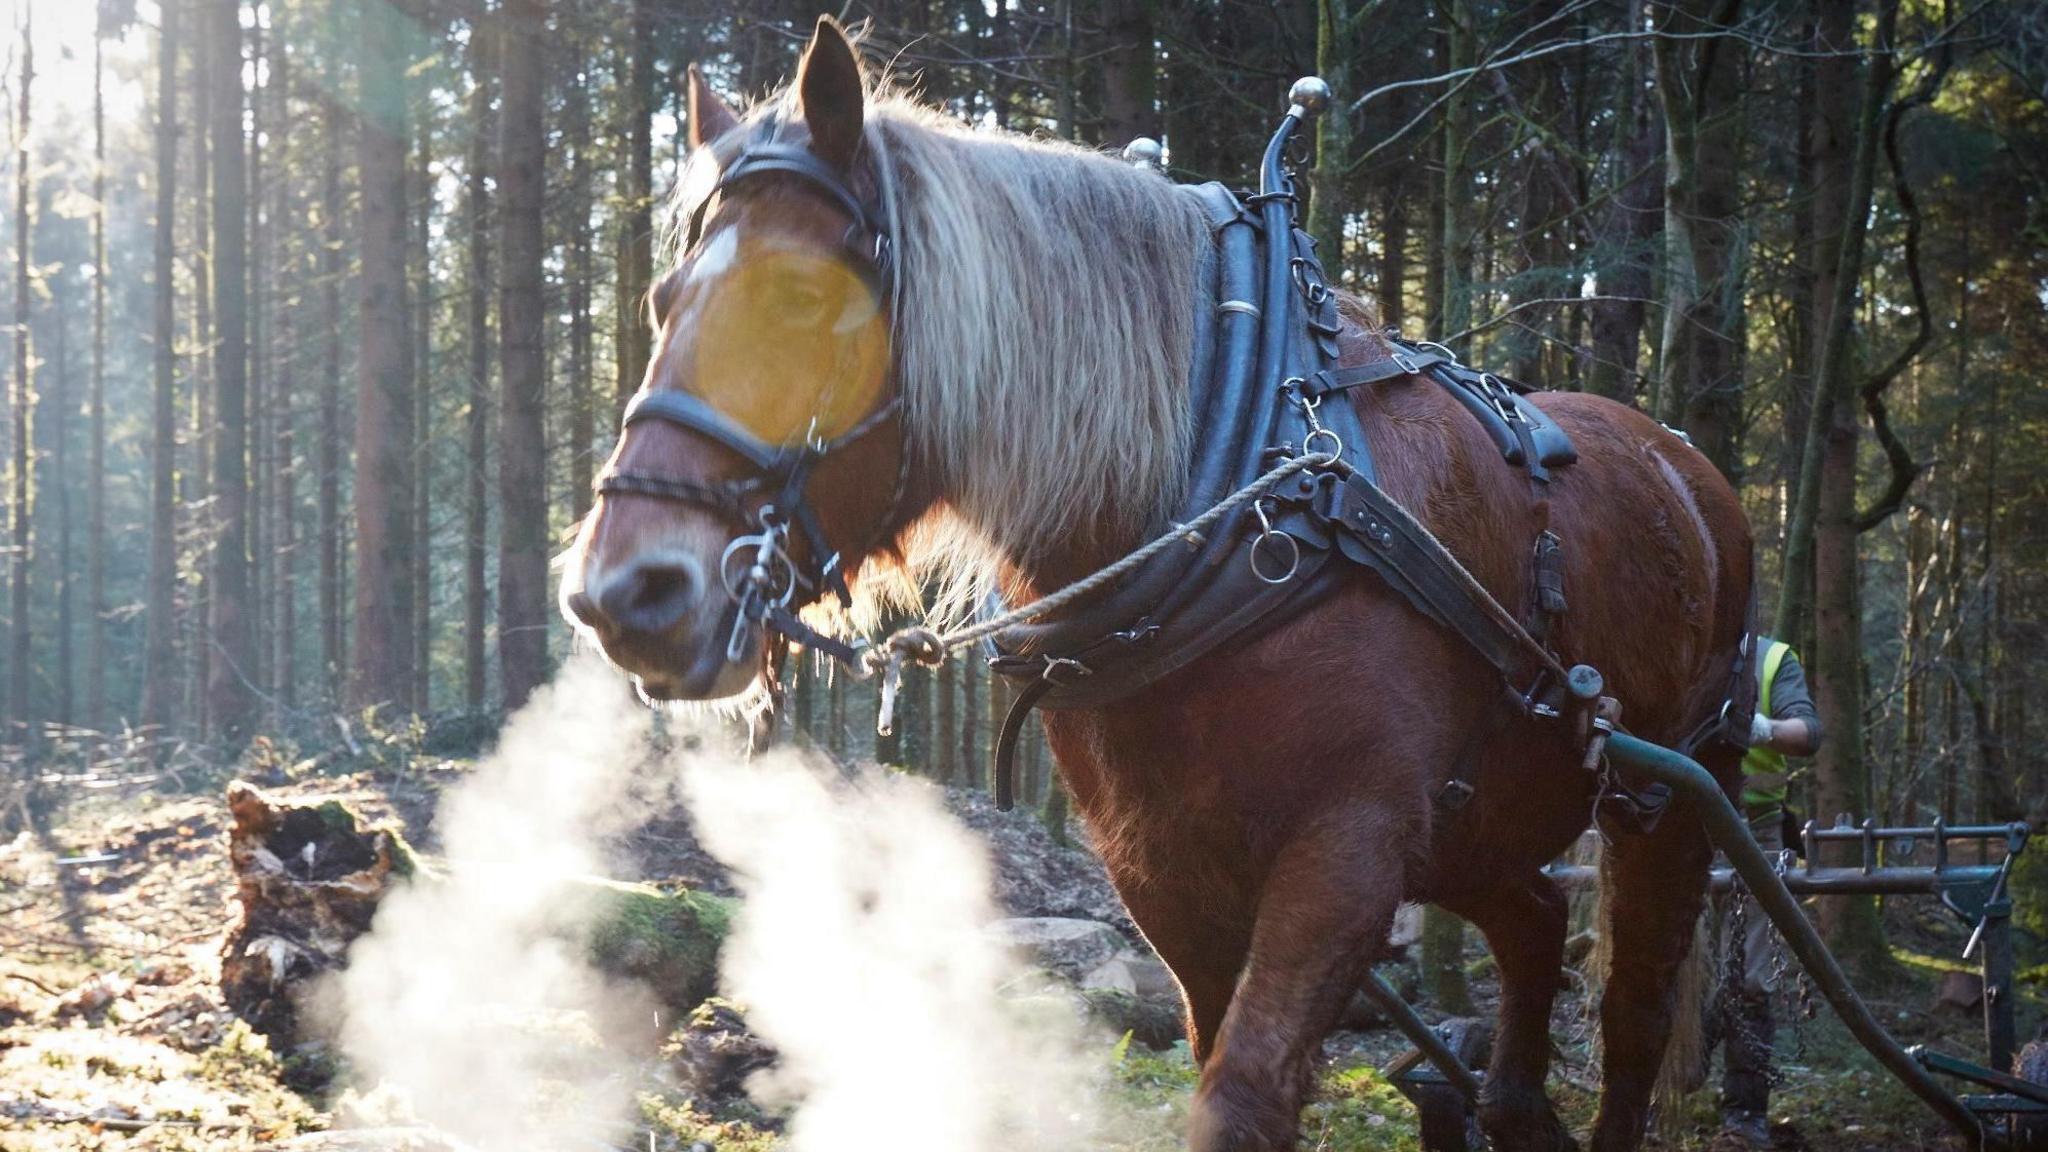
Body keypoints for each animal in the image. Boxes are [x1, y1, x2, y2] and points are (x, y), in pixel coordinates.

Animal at [561, 17, 1744, 1147]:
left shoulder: (1348, 852)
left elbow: (1243, 1096)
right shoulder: (1162, 874)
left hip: (1667, 796)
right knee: (1535, 922)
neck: (1228, 494)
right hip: (1476, 825)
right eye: (661, 298)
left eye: (803, 298)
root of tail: (1682, 463)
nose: (626, 592)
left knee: (1633, 1010)